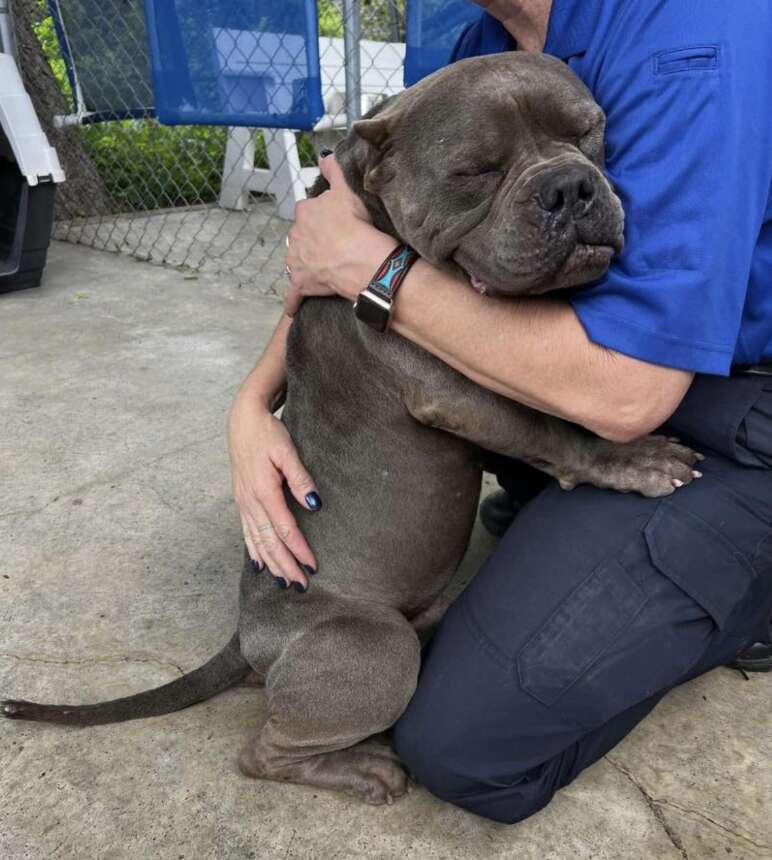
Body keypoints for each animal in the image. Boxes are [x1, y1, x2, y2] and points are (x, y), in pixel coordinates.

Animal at [1, 53, 700, 808]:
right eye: (475, 171)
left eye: (588, 132)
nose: (570, 185)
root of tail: (246, 637)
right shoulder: (457, 393)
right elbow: (550, 431)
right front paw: (634, 461)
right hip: (376, 647)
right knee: (264, 752)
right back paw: (367, 769)